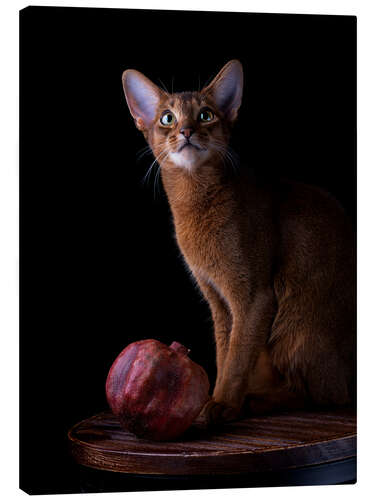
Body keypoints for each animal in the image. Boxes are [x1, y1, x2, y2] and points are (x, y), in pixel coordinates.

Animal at [122, 60, 356, 424]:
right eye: (167, 118)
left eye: (205, 115)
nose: (186, 131)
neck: (195, 202)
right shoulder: (217, 299)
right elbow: (224, 353)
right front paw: (215, 398)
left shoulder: (254, 296)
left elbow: (237, 357)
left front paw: (222, 404)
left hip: (297, 327)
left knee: (327, 396)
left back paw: (258, 401)